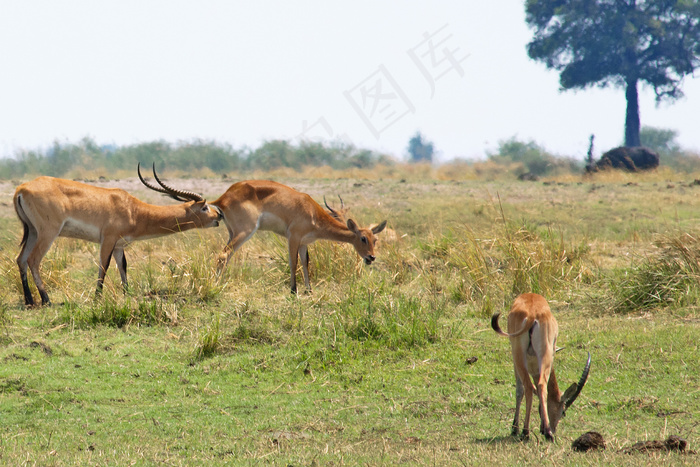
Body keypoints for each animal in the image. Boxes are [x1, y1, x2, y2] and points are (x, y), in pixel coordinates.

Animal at [14, 165, 221, 308]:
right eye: (204, 207)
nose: (219, 215)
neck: (134, 210)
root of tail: (21, 189)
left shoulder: (119, 245)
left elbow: (123, 267)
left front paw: (127, 294)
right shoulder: (108, 239)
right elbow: (103, 267)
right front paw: (97, 298)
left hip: (33, 231)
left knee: (21, 259)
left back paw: (29, 300)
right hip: (48, 233)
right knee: (33, 260)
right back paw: (46, 299)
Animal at [202, 181, 388, 294]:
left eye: (375, 240)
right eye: (363, 238)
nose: (371, 257)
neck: (312, 213)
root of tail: (222, 198)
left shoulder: (304, 243)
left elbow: (305, 263)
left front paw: (309, 289)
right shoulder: (293, 237)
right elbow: (293, 262)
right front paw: (293, 290)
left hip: (232, 233)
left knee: (226, 256)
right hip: (245, 232)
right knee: (224, 254)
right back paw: (216, 285)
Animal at [492, 294, 592, 440]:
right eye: (563, 412)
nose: (555, 428)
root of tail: (532, 315)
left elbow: (520, 390)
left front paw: (515, 428)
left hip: (520, 356)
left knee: (529, 387)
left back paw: (526, 432)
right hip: (542, 355)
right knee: (540, 386)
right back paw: (546, 433)